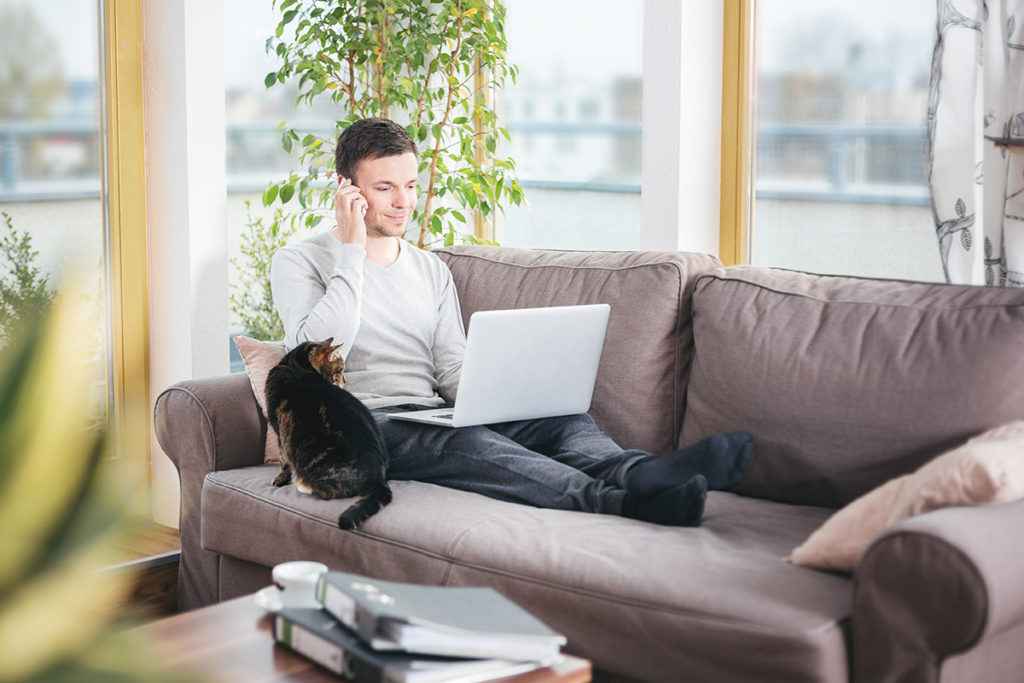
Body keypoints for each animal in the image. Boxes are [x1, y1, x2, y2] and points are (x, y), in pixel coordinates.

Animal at [264, 339, 391, 532]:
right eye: (339, 369)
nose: (345, 381)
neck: (295, 366)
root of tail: (378, 479)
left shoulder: (280, 431)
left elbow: (283, 461)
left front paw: (280, 479)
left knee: (327, 491)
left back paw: (302, 484)